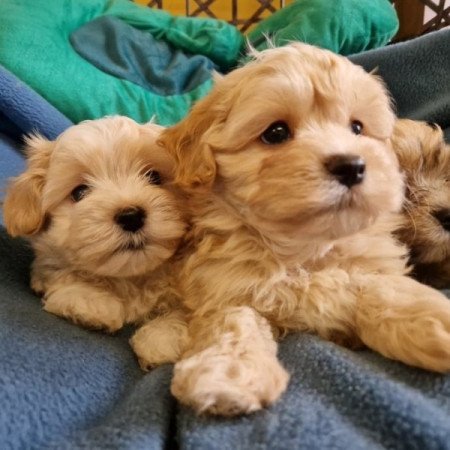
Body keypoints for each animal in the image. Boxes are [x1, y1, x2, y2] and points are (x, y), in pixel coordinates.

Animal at [3, 116, 188, 370]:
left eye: (154, 177)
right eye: (80, 192)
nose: (130, 216)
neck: (132, 277)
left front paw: (160, 339)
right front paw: (91, 302)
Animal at [159, 44, 450, 416]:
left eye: (357, 127)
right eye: (276, 133)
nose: (351, 166)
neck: (307, 247)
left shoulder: (373, 262)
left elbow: (382, 288)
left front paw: (429, 319)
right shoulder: (223, 285)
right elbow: (233, 321)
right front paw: (230, 374)